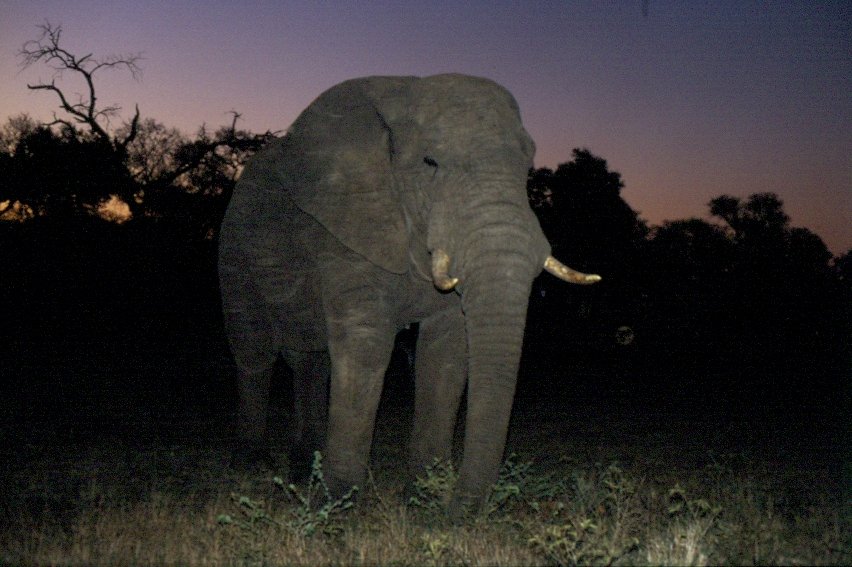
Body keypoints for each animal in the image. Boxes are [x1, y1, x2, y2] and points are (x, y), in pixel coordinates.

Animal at [220, 73, 600, 516]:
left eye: (528, 166)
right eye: (429, 163)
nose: (457, 512)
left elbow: (446, 353)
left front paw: (425, 496)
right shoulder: (347, 226)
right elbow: (366, 345)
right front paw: (337, 504)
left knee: (309, 360)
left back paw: (302, 468)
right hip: (235, 254)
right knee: (255, 352)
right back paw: (253, 466)